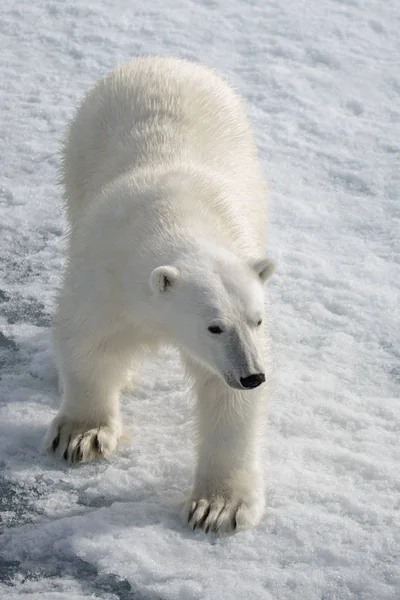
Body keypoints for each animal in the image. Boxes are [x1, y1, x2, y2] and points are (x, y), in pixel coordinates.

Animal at [43, 57, 276, 536]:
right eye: (213, 325)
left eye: (257, 319)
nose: (252, 375)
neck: (173, 212)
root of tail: (165, 61)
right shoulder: (106, 275)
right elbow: (87, 342)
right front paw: (82, 435)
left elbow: (225, 400)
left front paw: (217, 507)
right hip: (79, 149)